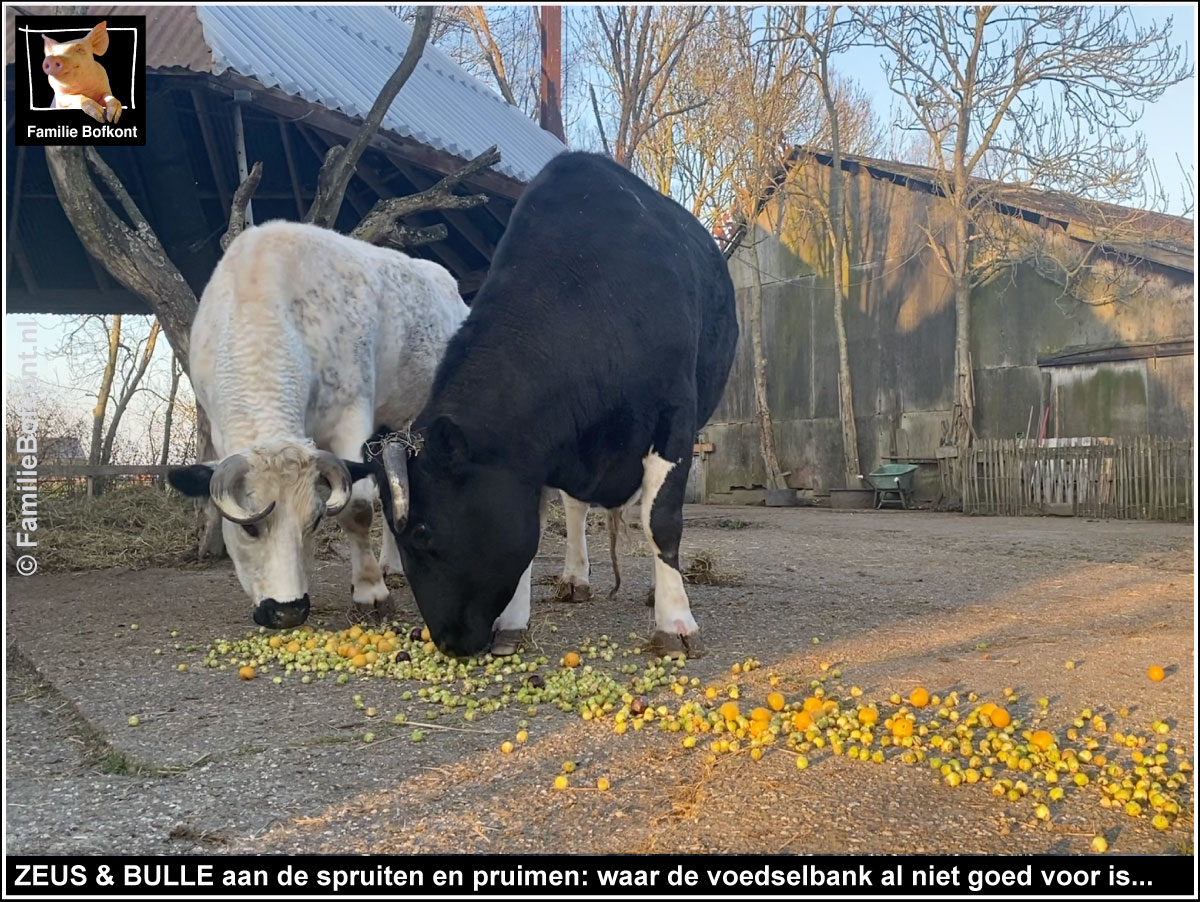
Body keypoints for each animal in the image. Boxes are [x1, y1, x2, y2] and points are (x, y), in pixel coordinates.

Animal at [171, 220, 465, 628]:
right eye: (248, 526)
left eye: (313, 521)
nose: (287, 610)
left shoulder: (350, 417)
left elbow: (357, 508)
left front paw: (370, 592)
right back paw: (391, 564)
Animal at [369, 151, 734, 657]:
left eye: (423, 532)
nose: (448, 641)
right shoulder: (533, 452)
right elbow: (537, 525)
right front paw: (513, 622)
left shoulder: (674, 417)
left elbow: (660, 519)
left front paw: (675, 622)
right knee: (577, 507)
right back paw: (575, 577)